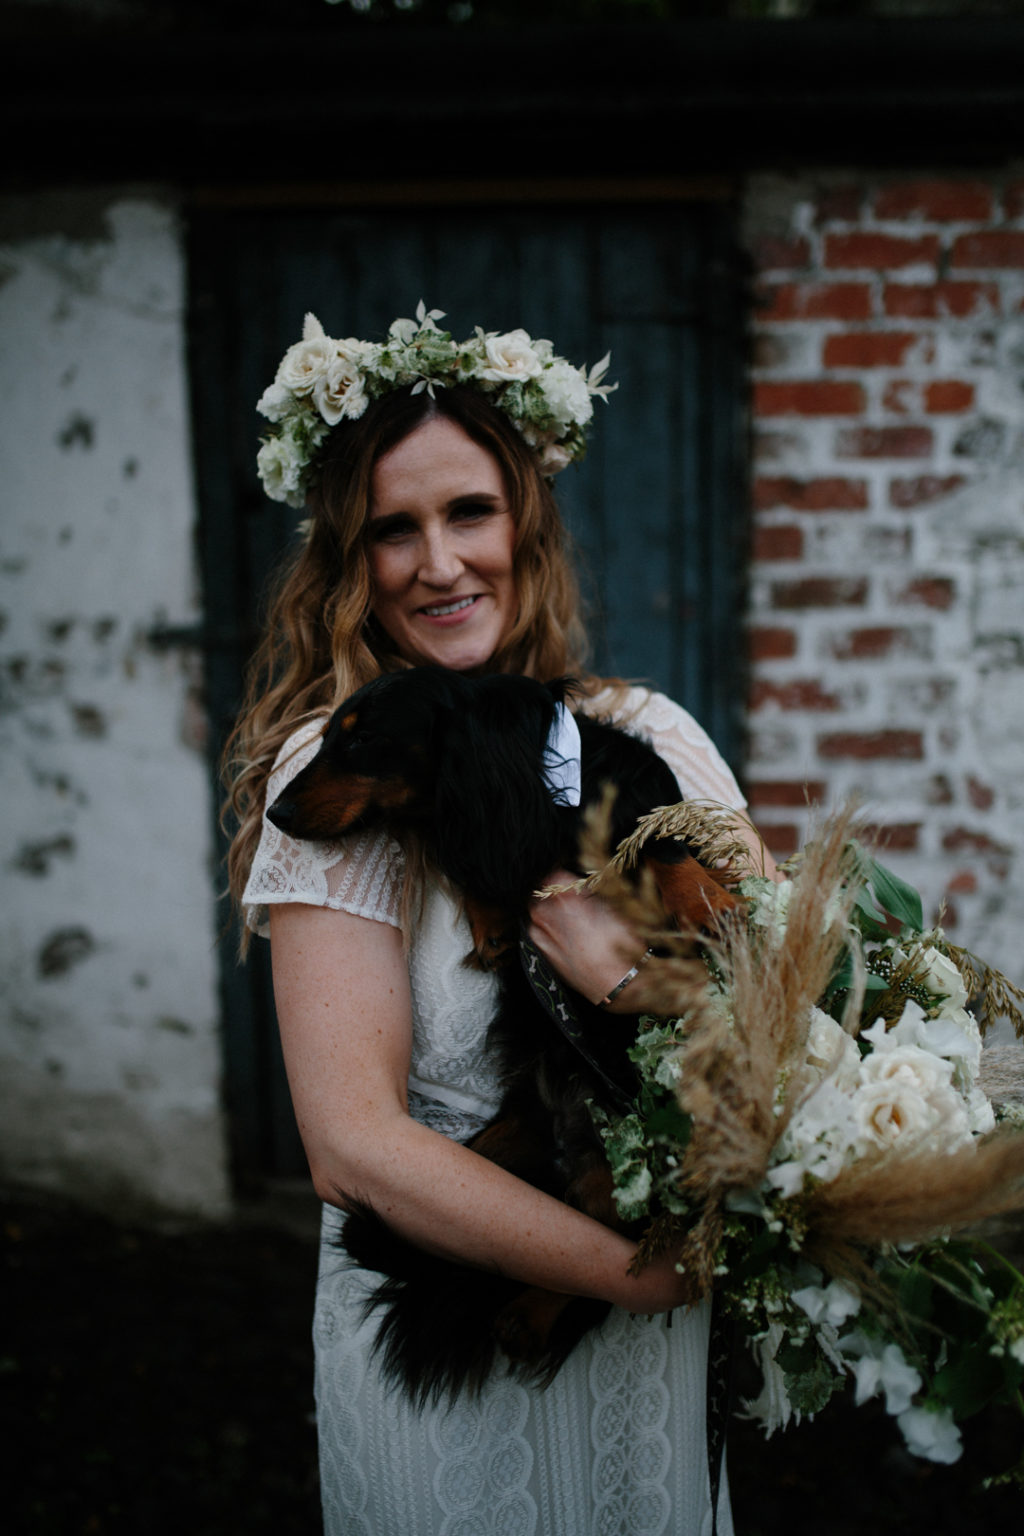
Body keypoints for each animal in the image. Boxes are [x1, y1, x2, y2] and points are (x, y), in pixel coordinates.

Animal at [268, 666, 739, 1406]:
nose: (276, 815)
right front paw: (491, 919)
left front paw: (708, 900)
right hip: (500, 1157)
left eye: (362, 739)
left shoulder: (638, 808)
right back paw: (524, 1314)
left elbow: (662, 845)